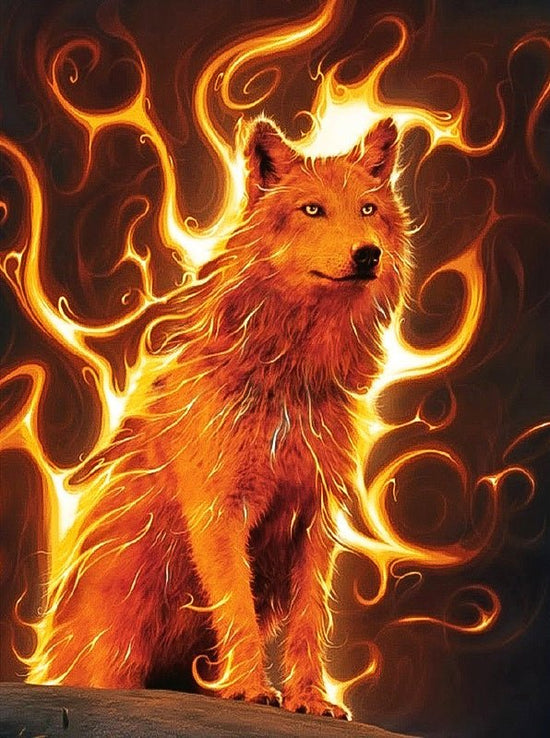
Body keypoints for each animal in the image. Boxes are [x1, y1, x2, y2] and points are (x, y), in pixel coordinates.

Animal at [33, 117, 410, 719]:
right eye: (312, 209)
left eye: (368, 209)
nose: (368, 254)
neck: (289, 383)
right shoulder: (219, 511)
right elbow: (237, 605)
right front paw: (253, 688)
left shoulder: (316, 520)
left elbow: (309, 619)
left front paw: (310, 697)